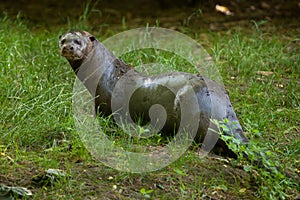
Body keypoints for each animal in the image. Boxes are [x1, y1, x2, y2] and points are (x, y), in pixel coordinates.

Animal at [58, 30, 248, 157]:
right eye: (63, 40)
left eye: (78, 41)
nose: (68, 47)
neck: (106, 73)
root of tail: (224, 106)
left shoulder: (106, 104)